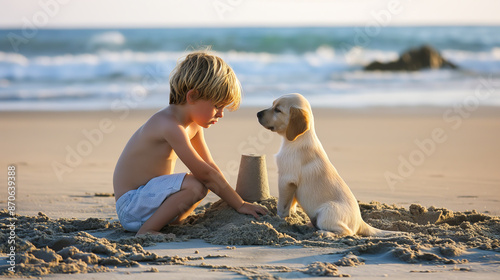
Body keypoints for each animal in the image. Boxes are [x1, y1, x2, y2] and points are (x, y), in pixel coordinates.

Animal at [258, 94, 390, 236]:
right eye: (272, 105)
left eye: (278, 110)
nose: (257, 114)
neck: (297, 140)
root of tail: (361, 222)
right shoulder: (292, 184)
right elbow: (291, 204)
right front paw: (291, 215)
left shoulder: (286, 180)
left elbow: (282, 206)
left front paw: (278, 218)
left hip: (326, 213)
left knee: (347, 232)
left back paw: (324, 233)